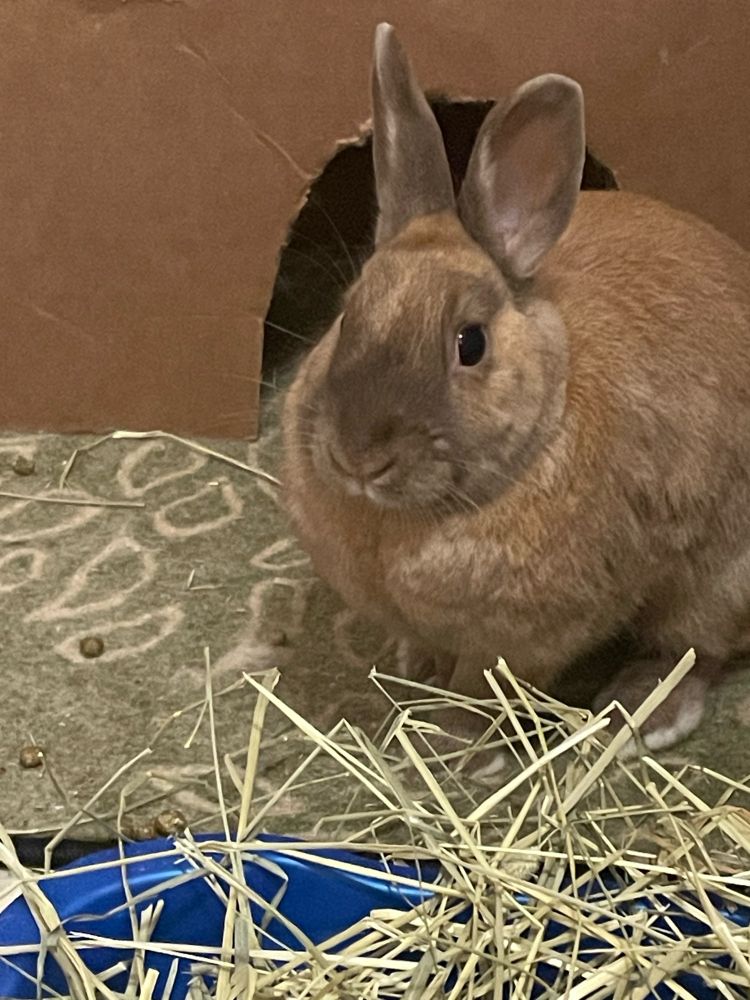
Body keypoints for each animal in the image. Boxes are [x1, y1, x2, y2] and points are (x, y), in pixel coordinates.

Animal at [281, 22, 750, 754]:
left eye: (470, 344)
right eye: (348, 314)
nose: (359, 457)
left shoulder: (527, 638)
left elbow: (484, 687)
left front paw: (449, 738)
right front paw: (415, 667)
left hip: (721, 579)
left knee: (695, 649)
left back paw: (641, 713)